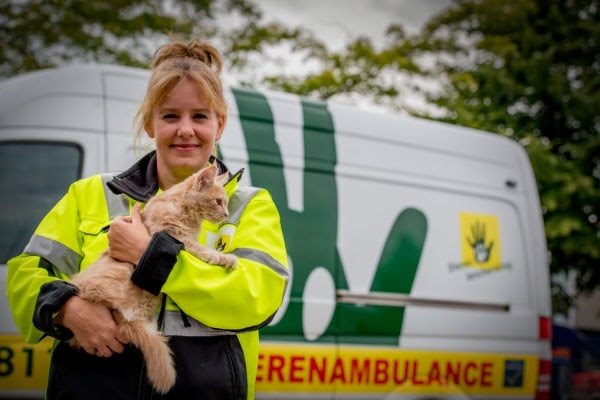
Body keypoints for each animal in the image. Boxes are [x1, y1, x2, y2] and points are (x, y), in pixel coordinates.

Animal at [68, 164, 237, 392]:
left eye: (225, 203)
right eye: (218, 201)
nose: (226, 213)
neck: (182, 208)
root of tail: (123, 319)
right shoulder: (172, 235)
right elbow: (200, 250)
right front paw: (225, 258)